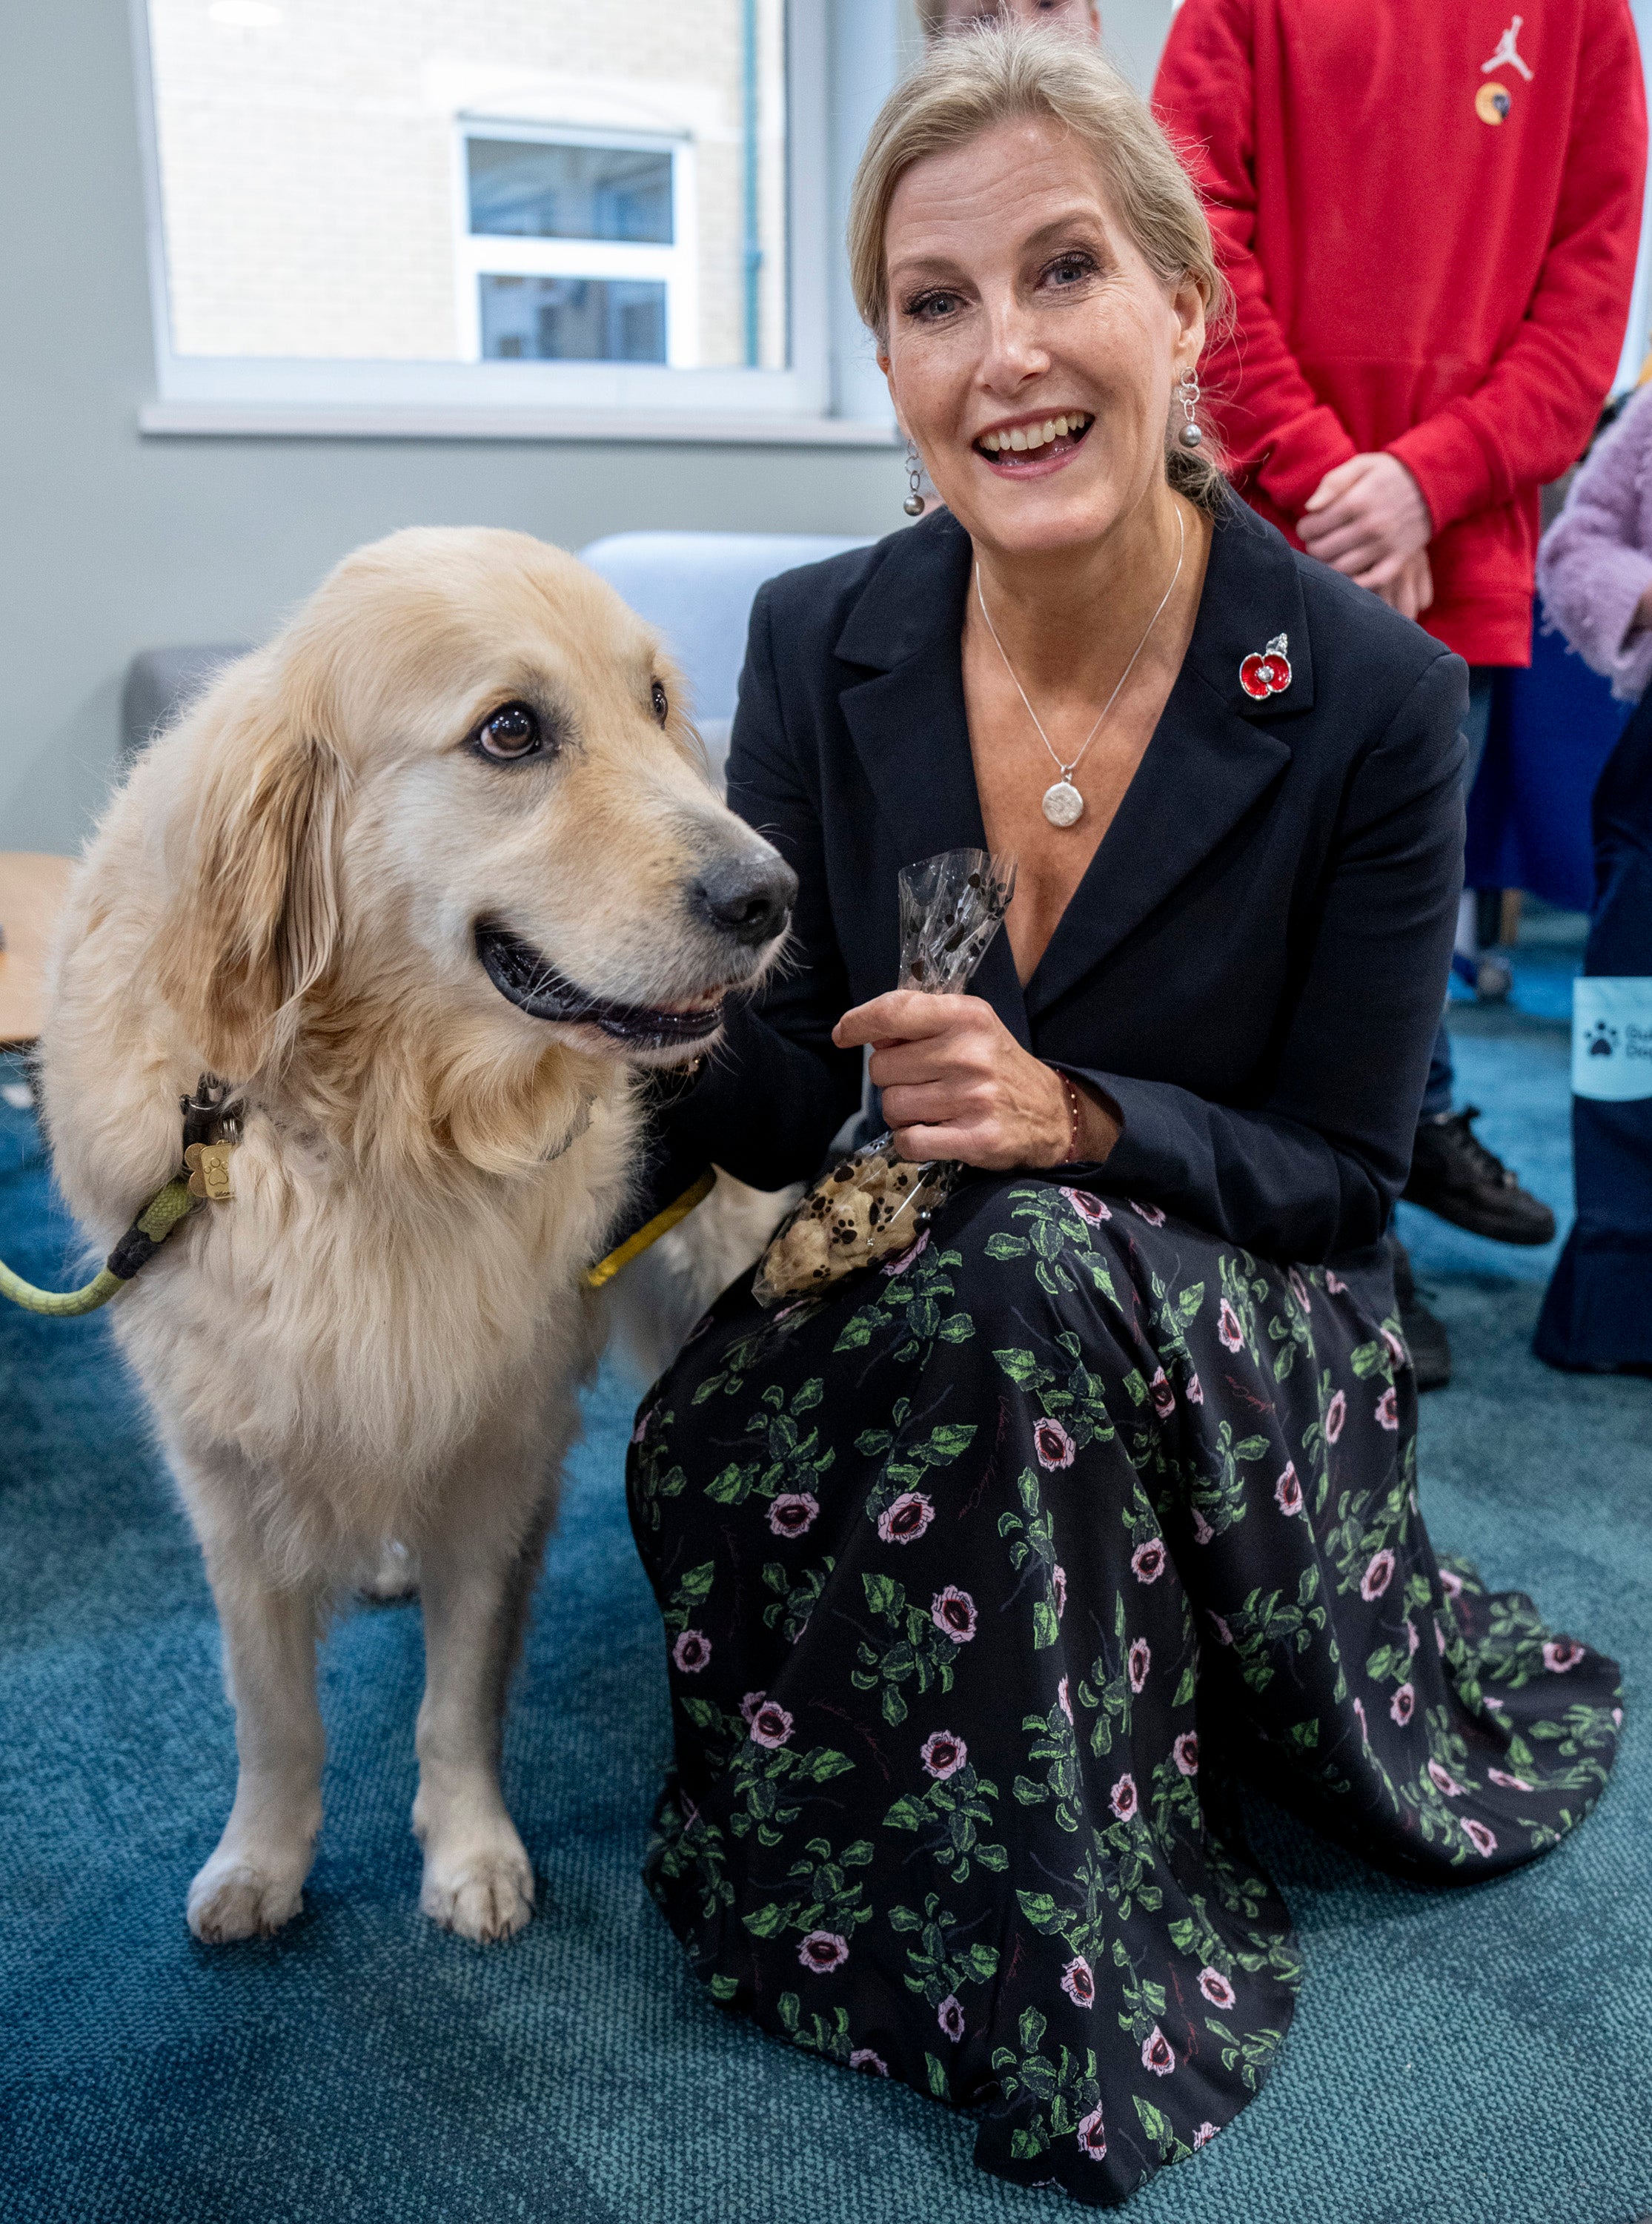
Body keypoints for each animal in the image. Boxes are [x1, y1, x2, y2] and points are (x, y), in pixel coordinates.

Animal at [36, 529, 792, 1939]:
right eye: (511, 731)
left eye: (658, 703)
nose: (769, 893)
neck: (383, 1129)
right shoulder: (226, 1457)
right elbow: (273, 1709)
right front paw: (262, 1860)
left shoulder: (500, 1440)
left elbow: (459, 1694)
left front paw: (469, 1852)